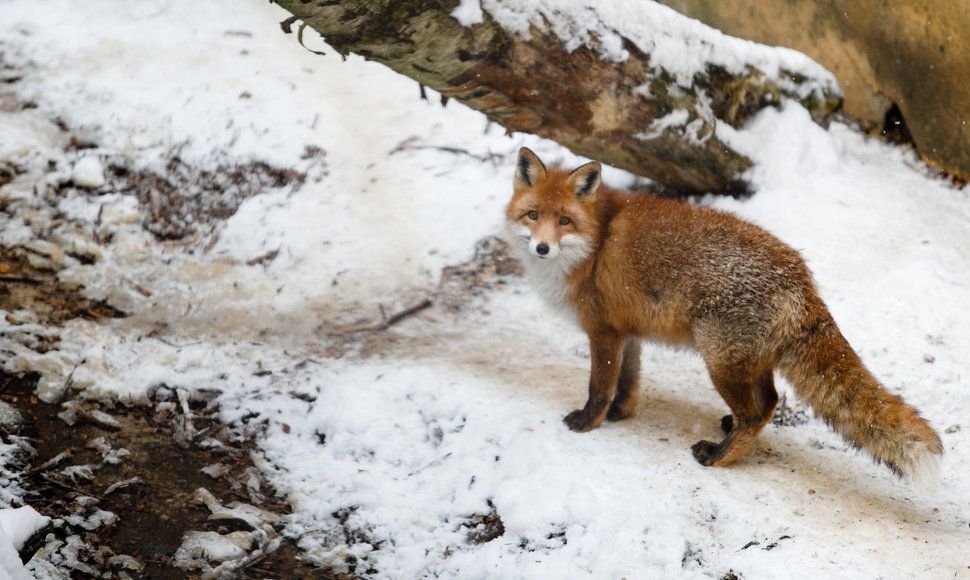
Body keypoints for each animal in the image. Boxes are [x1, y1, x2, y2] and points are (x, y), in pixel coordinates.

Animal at [502, 147, 940, 482]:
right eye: (533, 215)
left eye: (564, 220)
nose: (542, 248)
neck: (595, 242)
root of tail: (798, 273)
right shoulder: (628, 331)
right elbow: (627, 383)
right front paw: (620, 415)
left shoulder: (603, 331)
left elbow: (599, 386)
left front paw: (589, 422)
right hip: (748, 360)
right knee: (770, 401)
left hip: (719, 361)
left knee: (755, 412)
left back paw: (719, 456)